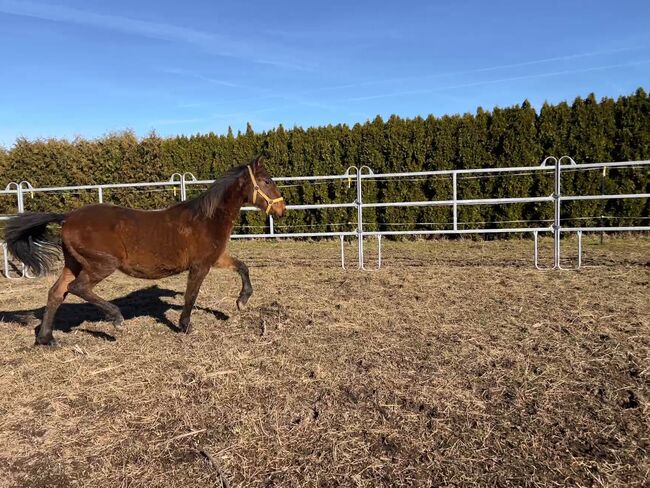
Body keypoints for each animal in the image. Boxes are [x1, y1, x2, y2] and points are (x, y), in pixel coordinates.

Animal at [5, 154, 284, 346]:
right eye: (267, 181)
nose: (282, 210)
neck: (206, 219)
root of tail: (68, 217)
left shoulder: (216, 259)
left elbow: (242, 267)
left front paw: (241, 301)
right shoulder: (200, 265)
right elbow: (190, 296)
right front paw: (185, 326)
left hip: (73, 264)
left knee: (56, 293)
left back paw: (46, 338)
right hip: (101, 265)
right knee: (77, 288)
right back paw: (116, 319)